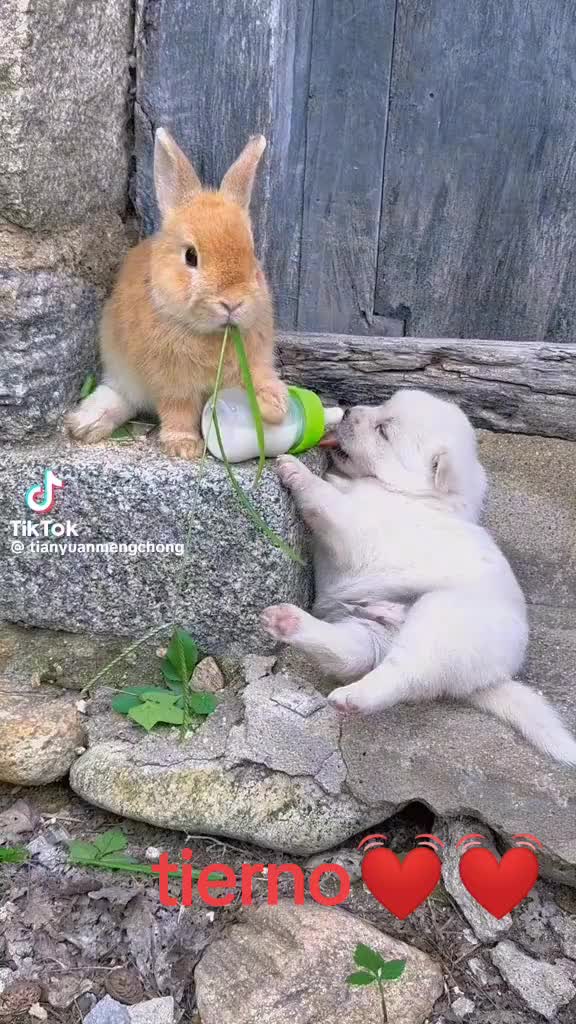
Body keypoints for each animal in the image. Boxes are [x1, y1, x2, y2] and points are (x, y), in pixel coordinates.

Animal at [65, 129, 288, 459]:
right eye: (191, 256)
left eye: (252, 253)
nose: (232, 302)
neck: (211, 335)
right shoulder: (171, 382)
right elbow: (178, 410)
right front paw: (184, 446)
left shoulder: (255, 360)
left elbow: (261, 379)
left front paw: (275, 409)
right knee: (122, 396)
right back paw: (84, 425)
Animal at [262, 389, 576, 766]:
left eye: (383, 431)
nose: (348, 410)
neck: (411, 495)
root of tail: (490, 678)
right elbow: (337, 487)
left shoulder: (357, 527)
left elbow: (327, 500)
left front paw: (296, 470)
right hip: (370, 630)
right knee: (353, 654)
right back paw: (288, 622)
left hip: (440, 622)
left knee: (402, 674)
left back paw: (354, 697)